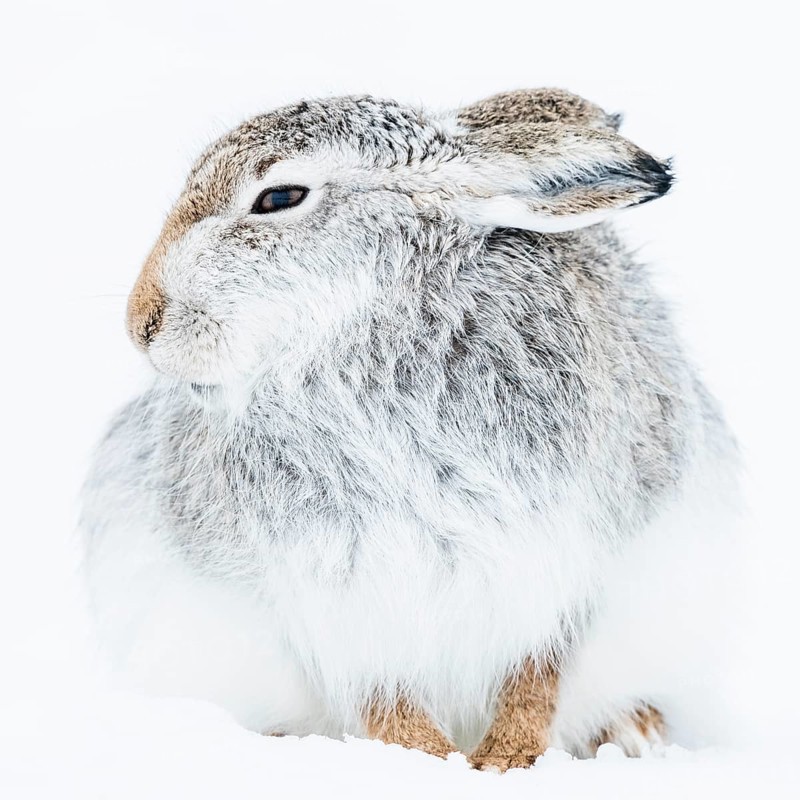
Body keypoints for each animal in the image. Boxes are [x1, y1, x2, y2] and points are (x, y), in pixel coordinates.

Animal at [81, 89, 739, 771]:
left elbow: (538, 677)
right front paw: (433, 762)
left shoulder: (570, 567)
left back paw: (636, 733)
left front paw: (506, 760)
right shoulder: (334, 606)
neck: (371, 332)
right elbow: (384, 700)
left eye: (280, 197)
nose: (141, 321)